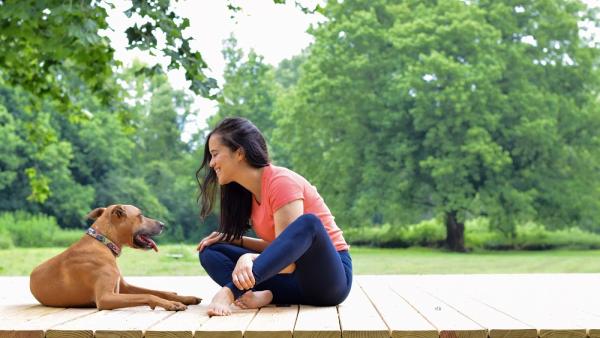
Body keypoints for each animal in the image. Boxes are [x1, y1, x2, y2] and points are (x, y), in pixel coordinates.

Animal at [29, 205, 202, 310]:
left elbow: (157, 292)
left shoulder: (125, 287)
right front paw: (172, 304)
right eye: (140, 215)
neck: (104, 243)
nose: (163, 224)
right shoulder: (106, 298)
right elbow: (148, 294)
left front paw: (185, 298)